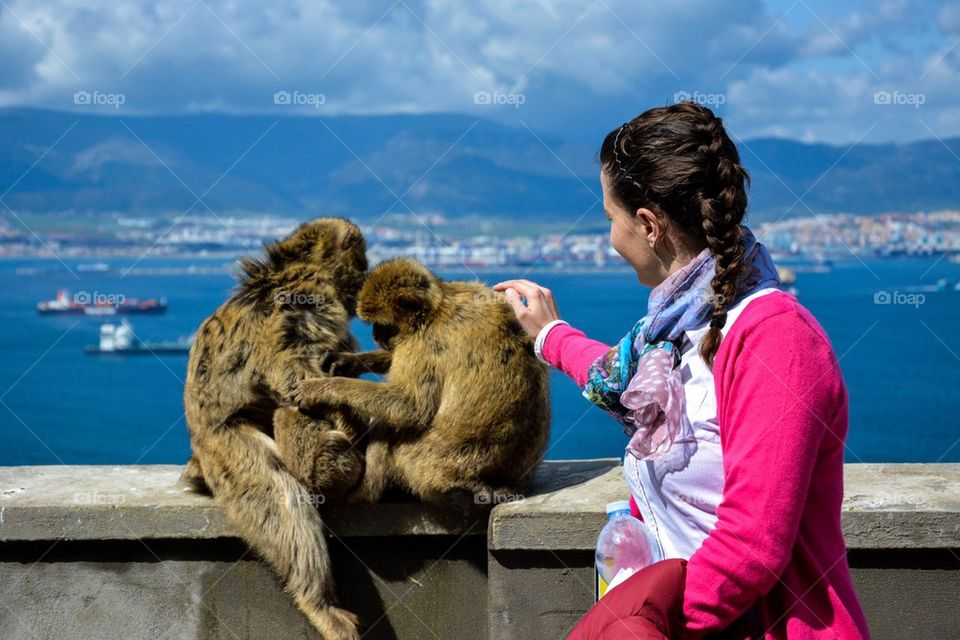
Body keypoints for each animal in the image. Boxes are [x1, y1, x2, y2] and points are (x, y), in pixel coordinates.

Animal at [183, 218, 368, 636]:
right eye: (362, 258)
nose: (366, 273)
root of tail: (198, 447)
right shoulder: (310, 300)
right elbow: (297, 380)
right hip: (226, 446)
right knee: (278, 496)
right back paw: (318, 602)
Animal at [292, 258, 552, 508]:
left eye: (383, 325)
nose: (375, 335)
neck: (435, 309)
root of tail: (493, 483)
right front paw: (347, 362)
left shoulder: (426, 342)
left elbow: (411, 407)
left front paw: (321, 389)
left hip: (420, 464)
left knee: (391, 423)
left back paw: (363, 494)